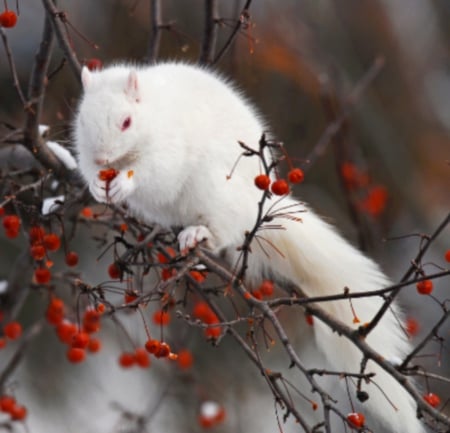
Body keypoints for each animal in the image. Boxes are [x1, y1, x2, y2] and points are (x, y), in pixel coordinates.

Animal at [73, 62, 426, 430]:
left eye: (127, 122)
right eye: (82, 120)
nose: (102, 157)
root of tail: (254, 209)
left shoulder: (167, 148)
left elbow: (152, 171)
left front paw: (126, 182)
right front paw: (96, 184)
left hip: (214, 193)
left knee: (223, 233)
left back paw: (197, 234)